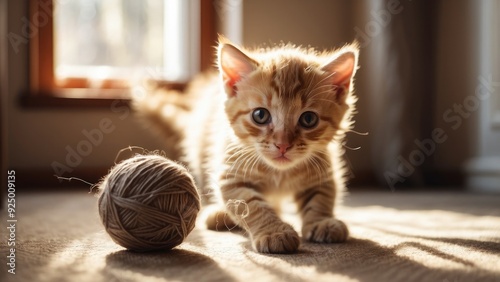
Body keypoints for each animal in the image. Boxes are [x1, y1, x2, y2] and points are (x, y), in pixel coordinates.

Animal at [133, 38, 360, 253]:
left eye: (309, 119)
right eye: (260, 115)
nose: (282, 144)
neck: (279, 173)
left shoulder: (323, 168)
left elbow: (322, 197)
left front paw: (322, 221)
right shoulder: (231, 175)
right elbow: (251, 205)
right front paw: (274, 232)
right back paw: (220, 214)